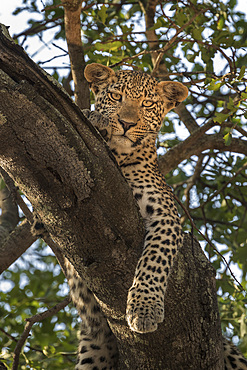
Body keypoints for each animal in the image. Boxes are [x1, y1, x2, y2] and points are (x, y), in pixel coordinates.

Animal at [60, 64, 246, 370]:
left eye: (147, 104)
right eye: (116, 96)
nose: (125, 123)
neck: (120, 157)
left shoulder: (166, 215)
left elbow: (153, 261)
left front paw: (144, 310)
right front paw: (96, 119)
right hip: (92, 350)